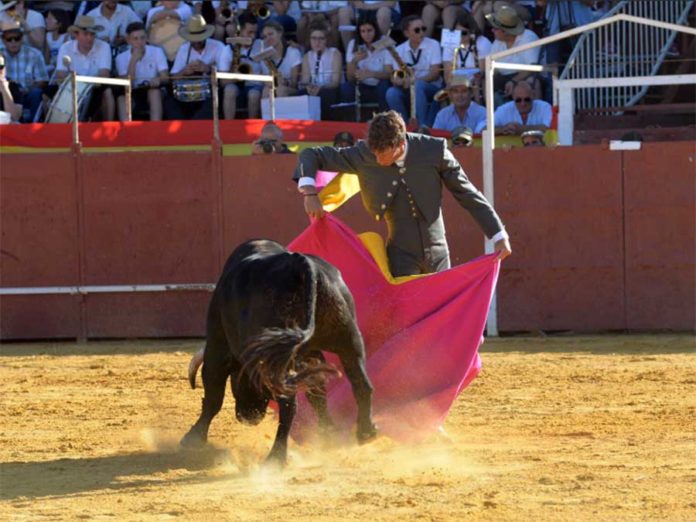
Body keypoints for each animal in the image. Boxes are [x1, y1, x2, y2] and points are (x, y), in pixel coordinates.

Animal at [179, 238, 376, 462]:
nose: (247, 417)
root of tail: (299, 265)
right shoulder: (311, 354)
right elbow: (317, 392)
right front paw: (328, 433)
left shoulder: (217, 346)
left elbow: (213, 396)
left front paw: (193, 438)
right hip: (348, 339)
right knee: (361, 384)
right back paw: (366, 432)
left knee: (288, 403)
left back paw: (276, 457)